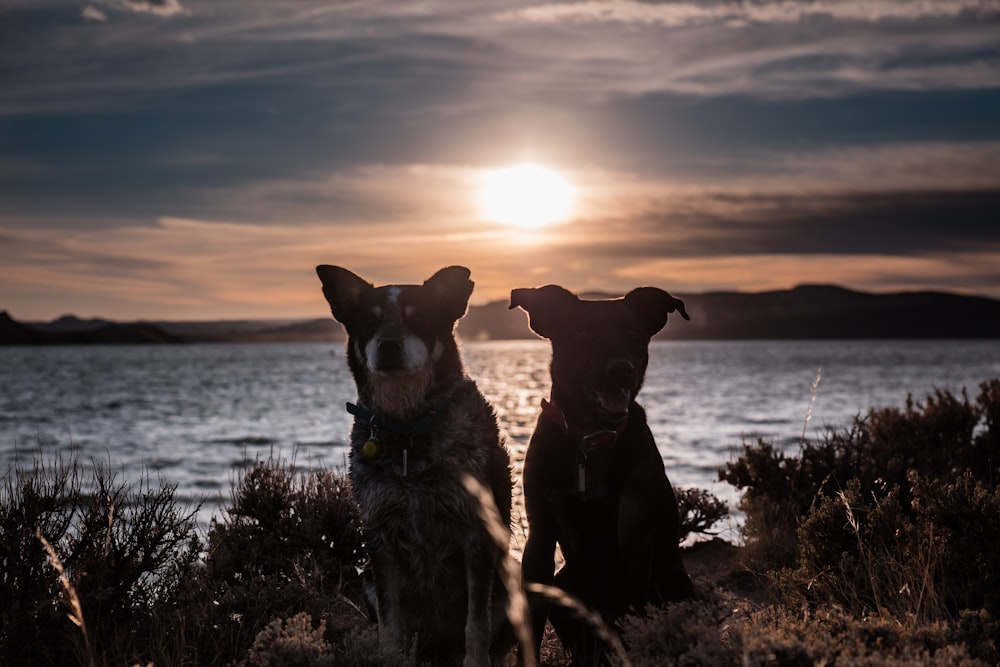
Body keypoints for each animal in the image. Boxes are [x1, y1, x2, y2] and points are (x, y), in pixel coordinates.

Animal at [318, 264, 516, 664]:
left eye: (420, 319)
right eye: (369, 321)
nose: (389, 346)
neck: (408, 428)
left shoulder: (476, 532)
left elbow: (477, 622)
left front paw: (475, 661)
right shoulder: (380, 535)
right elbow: (391, 623)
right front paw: (390, 658)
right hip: (366, 580)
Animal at [508, 284, 696, 664]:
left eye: (632, 334)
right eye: (582, 333)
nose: (621, 369)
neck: (590, 439)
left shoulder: (635, 543)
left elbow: (629, 616)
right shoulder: (540, 537)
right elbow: (531, 627)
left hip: (677, 586)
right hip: (565, 584)